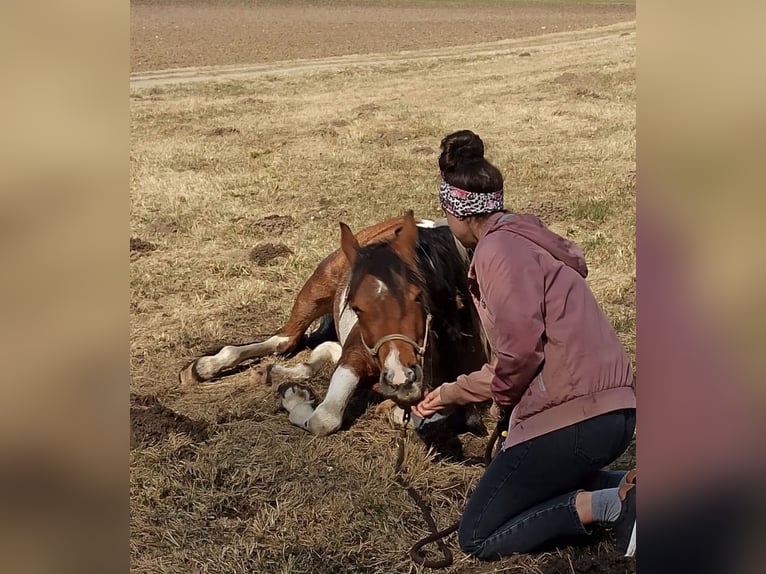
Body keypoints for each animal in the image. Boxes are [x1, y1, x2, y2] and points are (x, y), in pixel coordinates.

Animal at [179, 211, 490, 436]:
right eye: (357, 305)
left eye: (417, 296)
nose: (401, 377)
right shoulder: (355, 353)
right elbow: (325, 418)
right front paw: (295, 398)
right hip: (317, 288)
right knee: (285, 339)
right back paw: (204, 367)